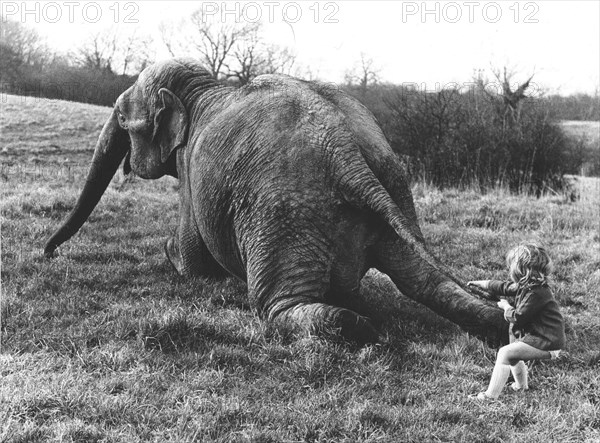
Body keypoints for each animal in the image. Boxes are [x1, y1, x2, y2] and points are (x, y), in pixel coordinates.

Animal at [44, 56, 508, 346]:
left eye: (124, 120)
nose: (48, 253)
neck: (202, 90)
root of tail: (345, 154)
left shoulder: (192, 173)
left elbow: (194, 263)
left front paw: (170, 254)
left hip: (284, 213)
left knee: (274, 305)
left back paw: (357, 326)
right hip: (394, 185)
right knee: (427, 283)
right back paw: (494, 323)